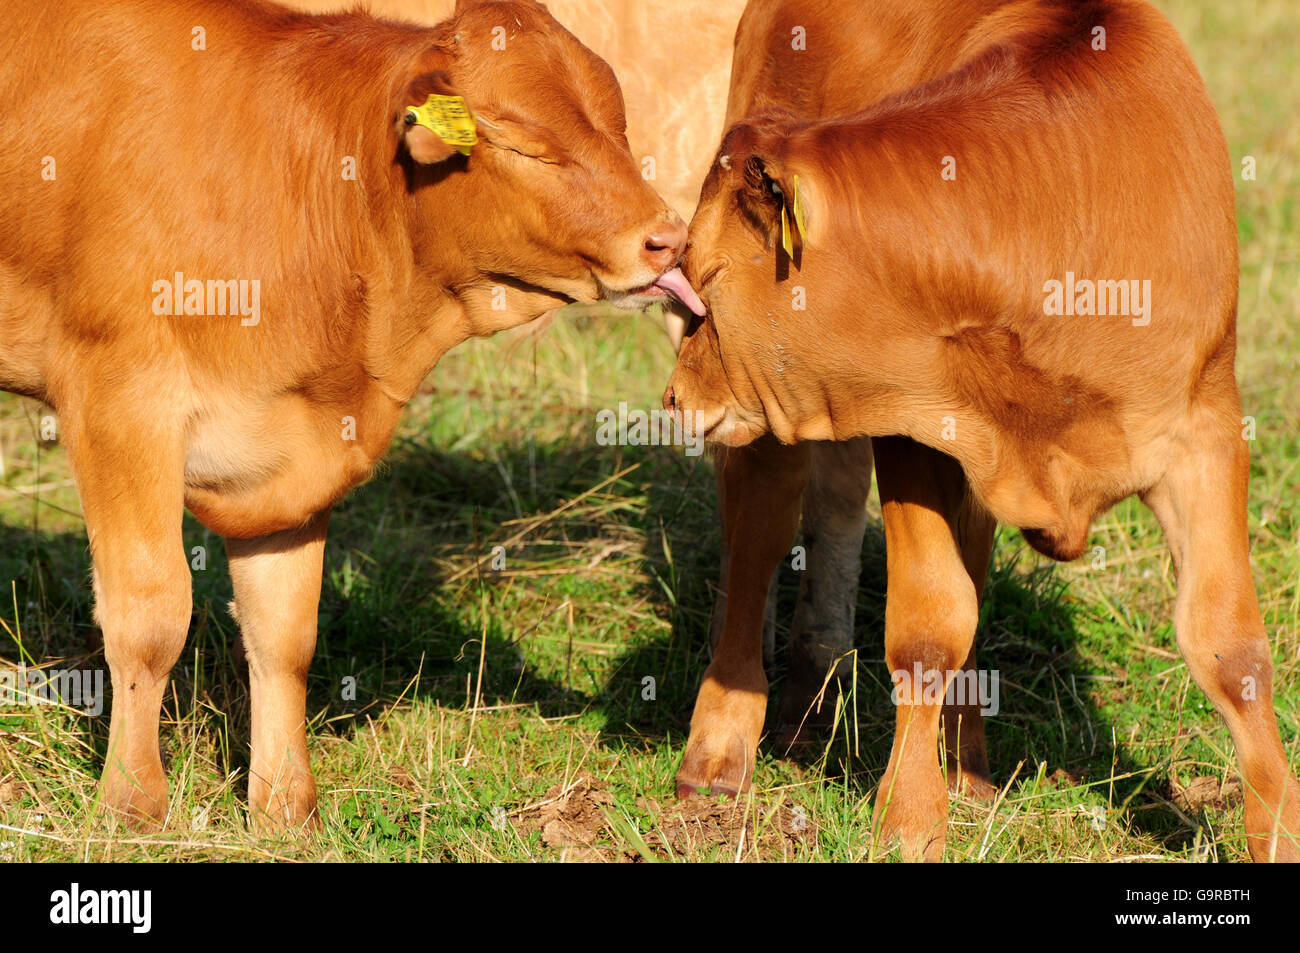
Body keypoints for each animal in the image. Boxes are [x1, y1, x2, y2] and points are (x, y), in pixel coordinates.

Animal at [0, 0, 702, 826]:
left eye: (617, 128)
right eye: (525, 144)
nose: (669, 238)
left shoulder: (294, 441)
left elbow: (285, 631)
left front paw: (283, 808)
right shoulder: (120, 398)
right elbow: (150, 617)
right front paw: (132, 806)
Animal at [670, 0, 1300, 863]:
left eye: (707, 277)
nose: (673, 393)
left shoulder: (1206, 429)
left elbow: (1229, 645)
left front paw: (1278, 828)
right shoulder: (910, 433)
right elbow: (930, 625)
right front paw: (908, 820)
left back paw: (969, 770)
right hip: (769, 430)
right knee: (758, 540)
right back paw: (717, 754)